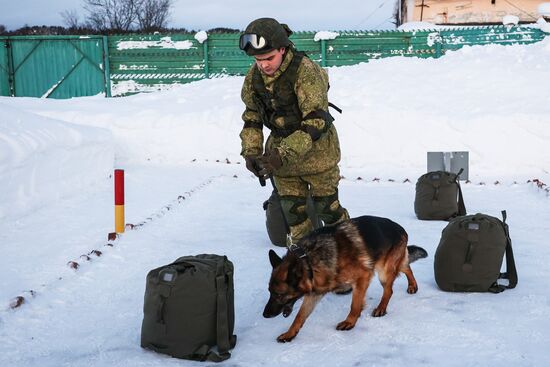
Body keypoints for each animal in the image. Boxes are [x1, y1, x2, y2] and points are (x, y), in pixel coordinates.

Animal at [266, 214, 430, 344]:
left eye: (279, 294)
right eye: (270, 292)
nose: (265, 315)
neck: (308, 260)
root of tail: (400, 228)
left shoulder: (363, 277)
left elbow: (355, 305)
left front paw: (350, 322)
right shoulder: (314, 293)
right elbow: (299, 316)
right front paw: (289, 334)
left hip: (384, 271)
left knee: (389, 290)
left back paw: (381, 308)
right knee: (406, 266)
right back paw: (412, 285)